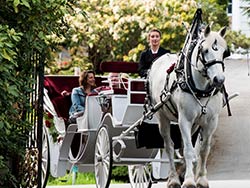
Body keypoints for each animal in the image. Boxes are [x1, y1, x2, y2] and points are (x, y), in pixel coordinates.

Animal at [148, 25, 229, 188]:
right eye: (205, 50)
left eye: (224, 52)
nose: (219, 80)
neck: (201, 88)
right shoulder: (184, 120)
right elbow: (188, 151)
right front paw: (190, 180)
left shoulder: (211, 122)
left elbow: (203, 150)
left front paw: (201, 179)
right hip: (162, 117)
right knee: (169, 146)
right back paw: (173, 178)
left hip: (194, 124)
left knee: (185, 145)